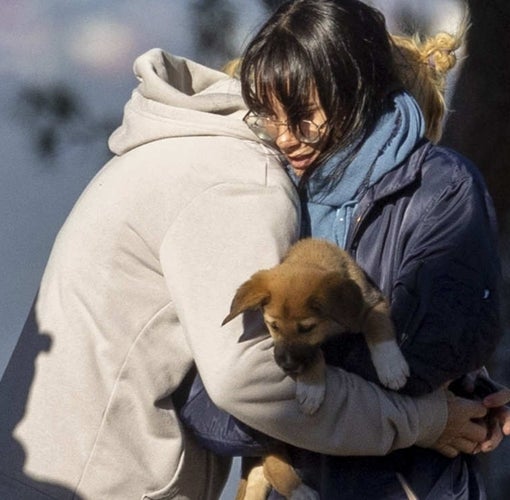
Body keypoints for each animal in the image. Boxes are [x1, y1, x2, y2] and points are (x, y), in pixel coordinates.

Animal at [223, 237, 410, 500]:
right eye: (273, 326)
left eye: (306, 328)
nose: (287, 365)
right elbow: (316, 354)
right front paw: (311, 389)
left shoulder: (372, 303)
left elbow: (378, 325)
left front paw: (391, 365)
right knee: (272, 459)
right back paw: (298, 490)